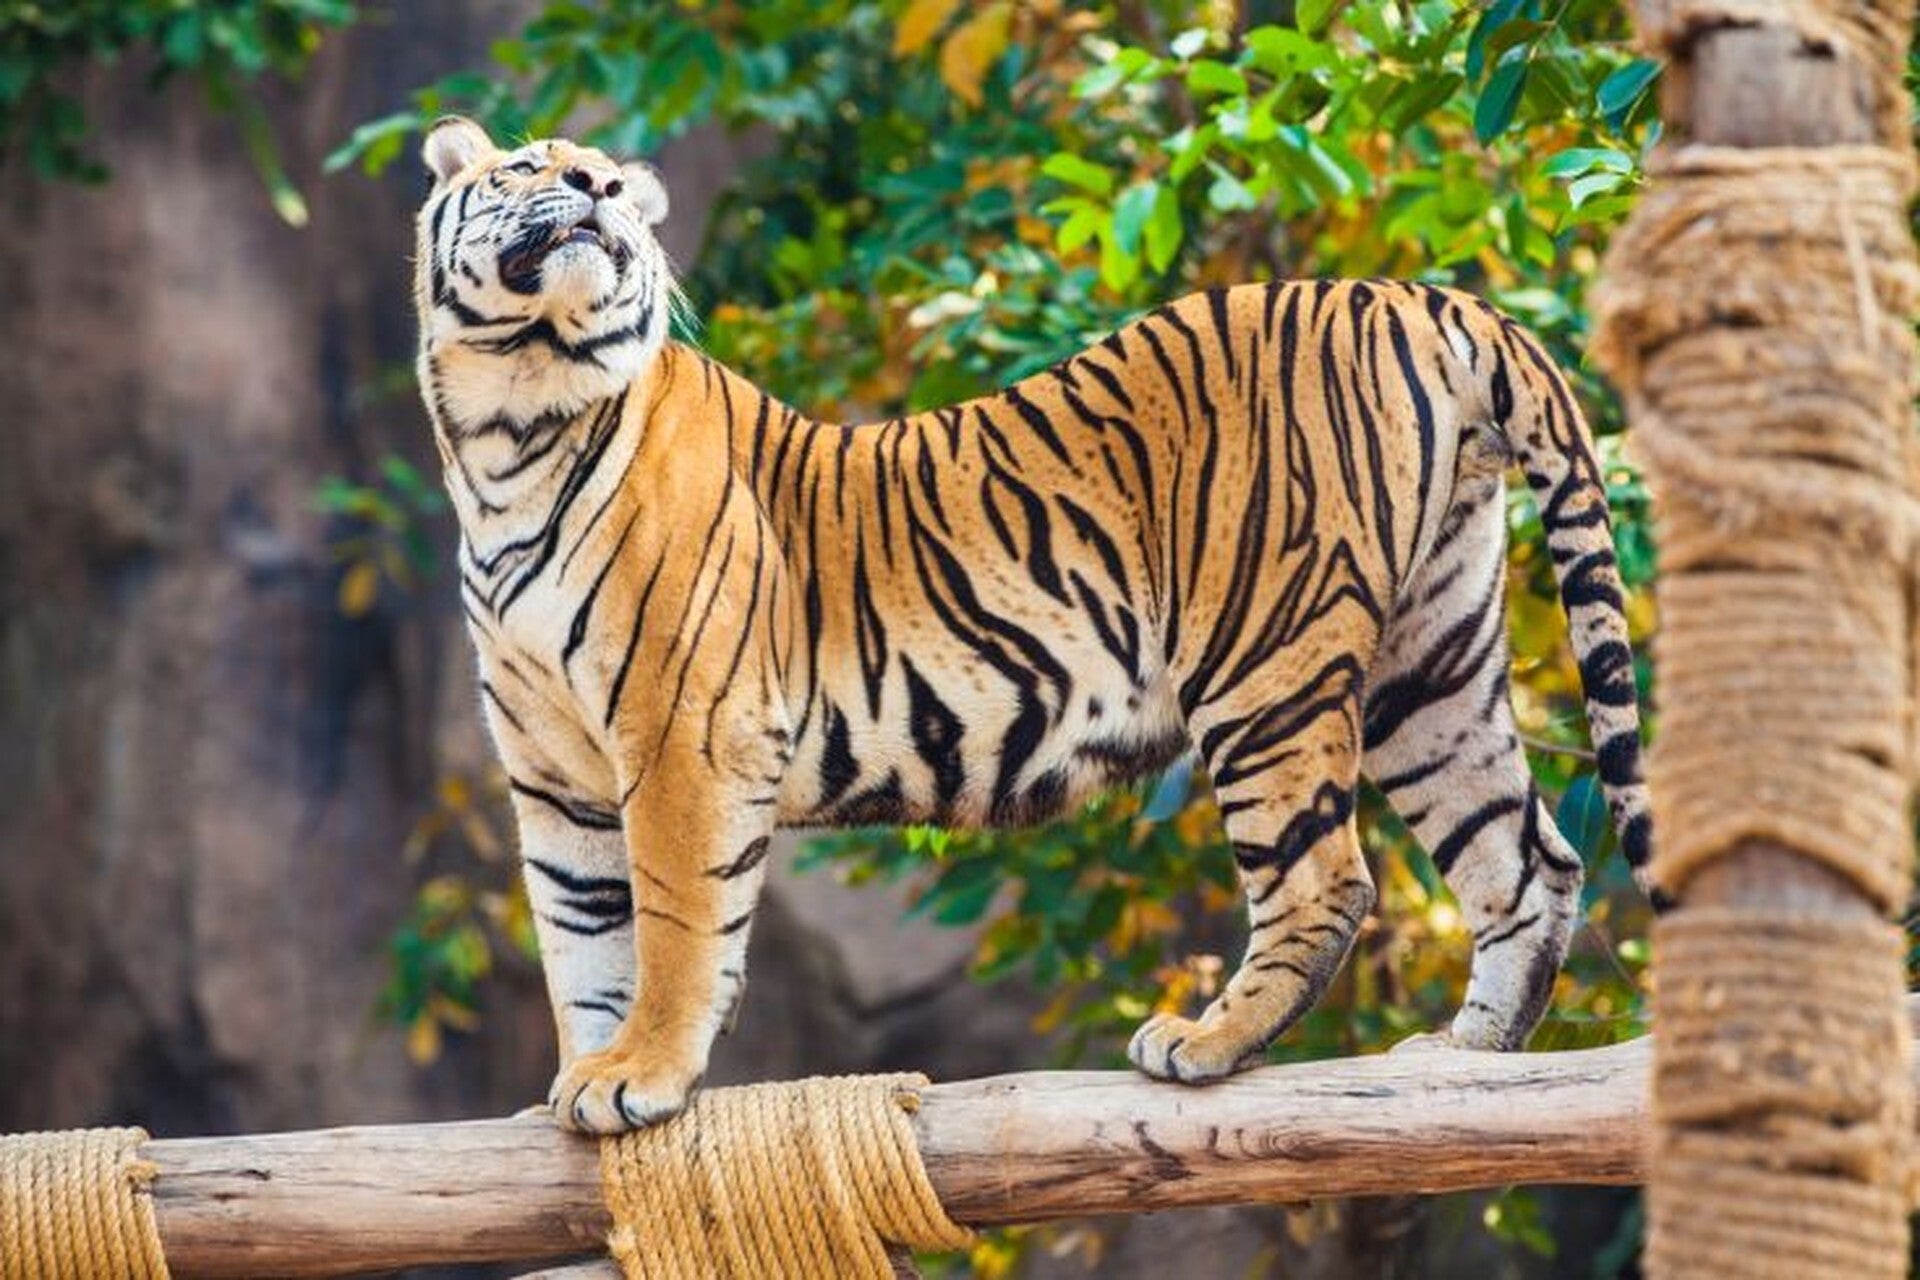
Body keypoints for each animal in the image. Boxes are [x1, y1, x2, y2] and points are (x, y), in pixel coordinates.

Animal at [412, 116, 1654, 1135]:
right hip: (1429, 661)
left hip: (1263, 657)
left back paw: (1206, 1041)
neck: (512, 427)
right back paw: (1464, 1058)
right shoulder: (553, 768)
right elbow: (582, 934)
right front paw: (579, 1078)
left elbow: (671, 921)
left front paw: (641, 1074)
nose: (596, 185)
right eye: (529, 167)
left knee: (1328, 876)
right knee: (1525, 853)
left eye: (616, 185)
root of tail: (1421, 295)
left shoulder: (685, 731)